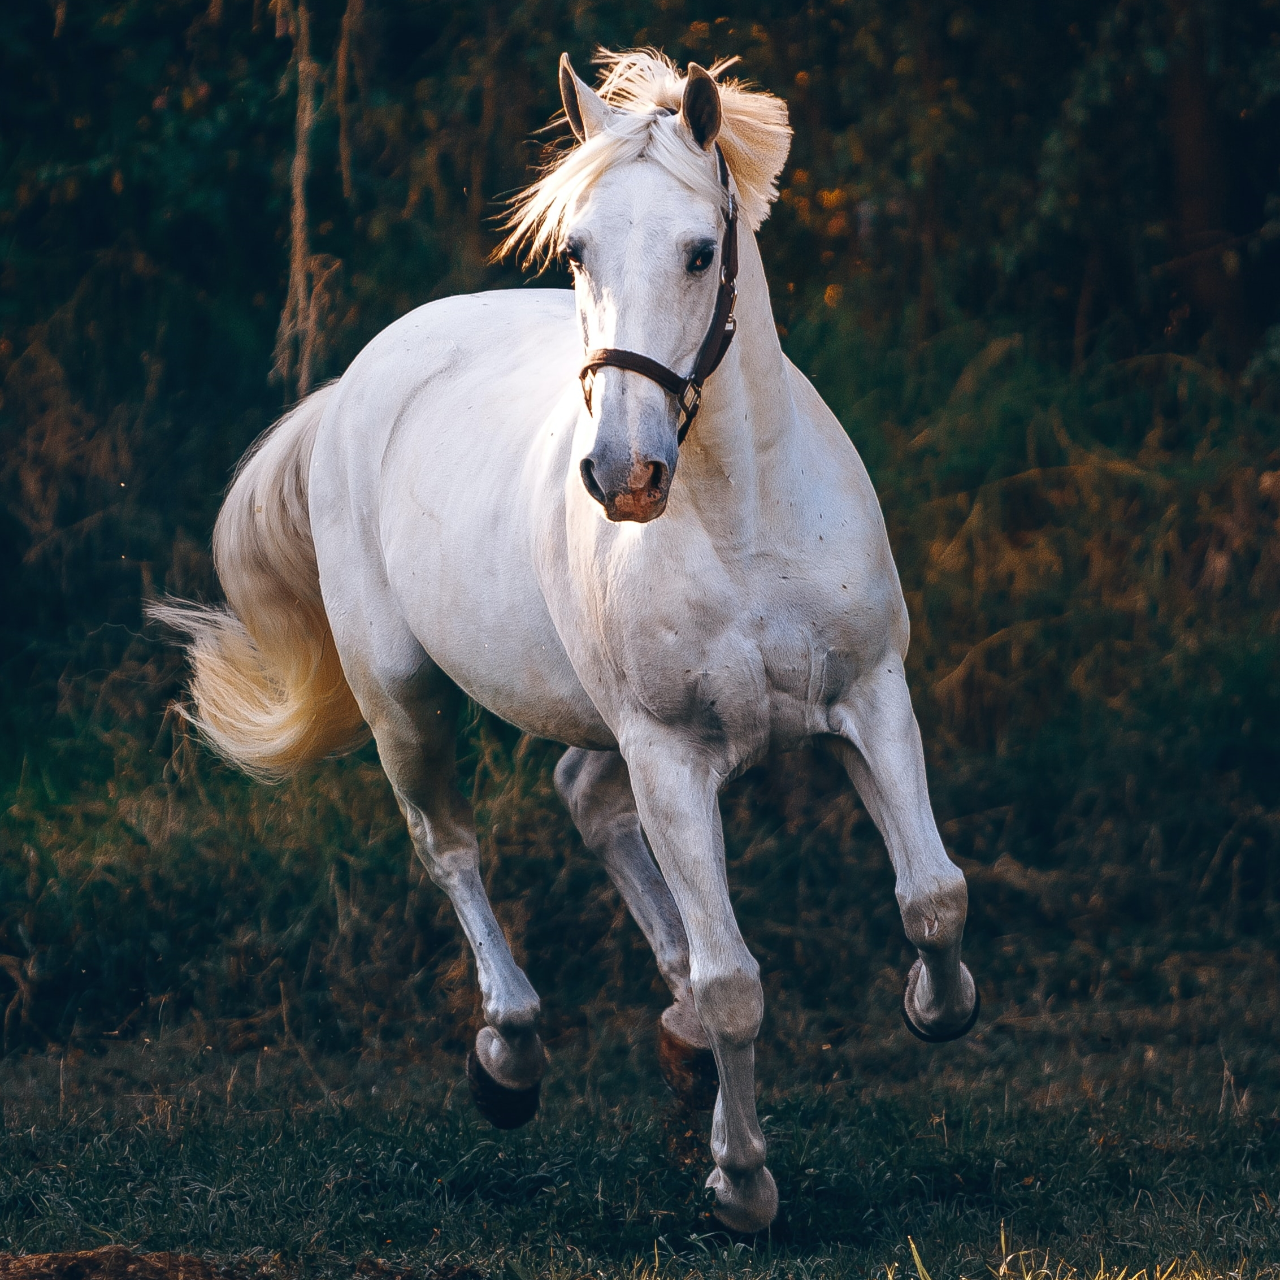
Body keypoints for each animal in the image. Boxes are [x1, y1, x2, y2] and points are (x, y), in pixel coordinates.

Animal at [160, 49, 977, 1228]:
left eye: (699, 251)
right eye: (579, 249)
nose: (621, 475)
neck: (742, 520)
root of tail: (361, 378)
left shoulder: (869, 697)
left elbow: (932, 896)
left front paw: (928, 1003)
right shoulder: (670, 753)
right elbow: (736, 983)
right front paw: (742, 1181)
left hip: (596, 719)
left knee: (583, 800)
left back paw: (668, 1035)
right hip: (404, 697)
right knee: (450, 847)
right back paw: (508, 1056)